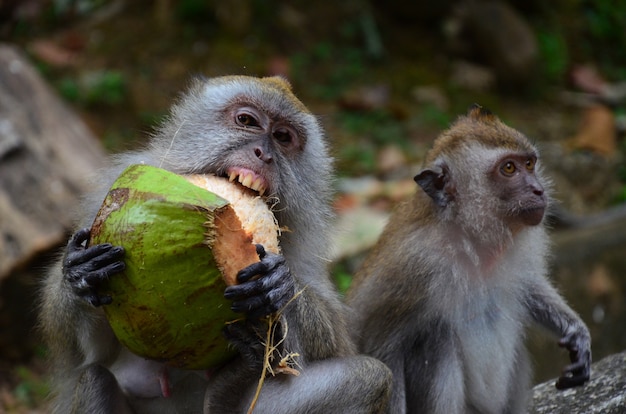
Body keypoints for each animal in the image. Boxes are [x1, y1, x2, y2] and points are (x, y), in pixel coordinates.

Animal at [344, 106, 588, 414]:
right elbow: (383, 350)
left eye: (530, 163)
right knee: (437, 340)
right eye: (509, 168)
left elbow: (531, 287)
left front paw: (577, 333)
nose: (538, 190)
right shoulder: (412, 268)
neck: (469, 239)